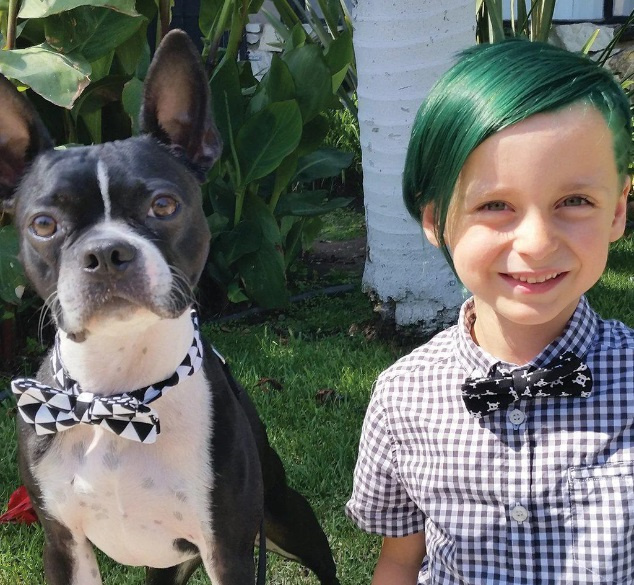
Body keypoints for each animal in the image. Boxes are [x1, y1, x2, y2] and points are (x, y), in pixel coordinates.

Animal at [0, 29, 340, 585]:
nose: (106, 253)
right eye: (43, 225)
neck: (118, 395)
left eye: (163, 206)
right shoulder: (63, 544)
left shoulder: (228, 548)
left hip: (288, 520)